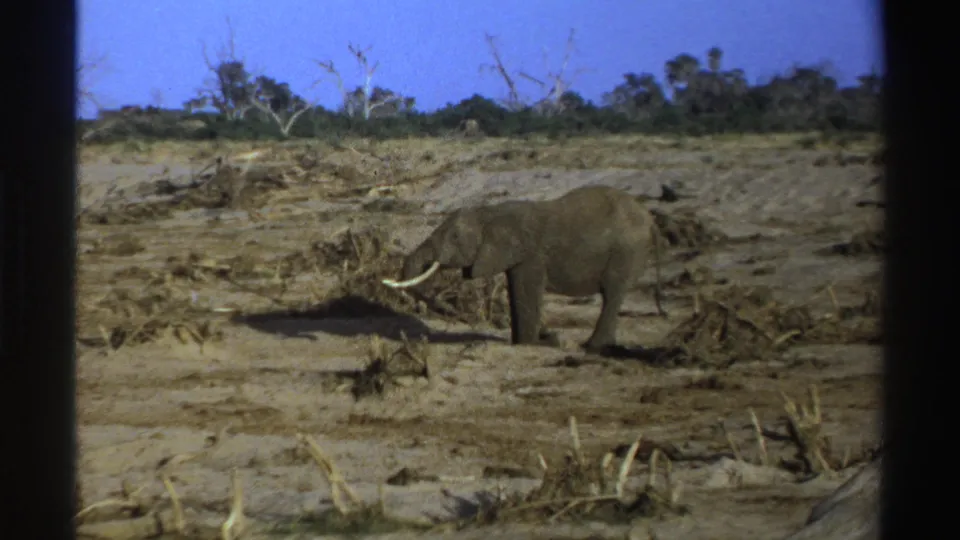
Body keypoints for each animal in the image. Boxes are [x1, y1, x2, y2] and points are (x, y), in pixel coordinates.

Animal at [381, 185, 666, 353]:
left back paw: (592, 347)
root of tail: (651, 221)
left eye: (454, 237)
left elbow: (525, 292)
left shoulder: (531, 255)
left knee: (612, 293)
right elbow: (515, 291)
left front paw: (533, 344)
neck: (489, 212)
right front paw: (527, 342)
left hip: (626, 251)